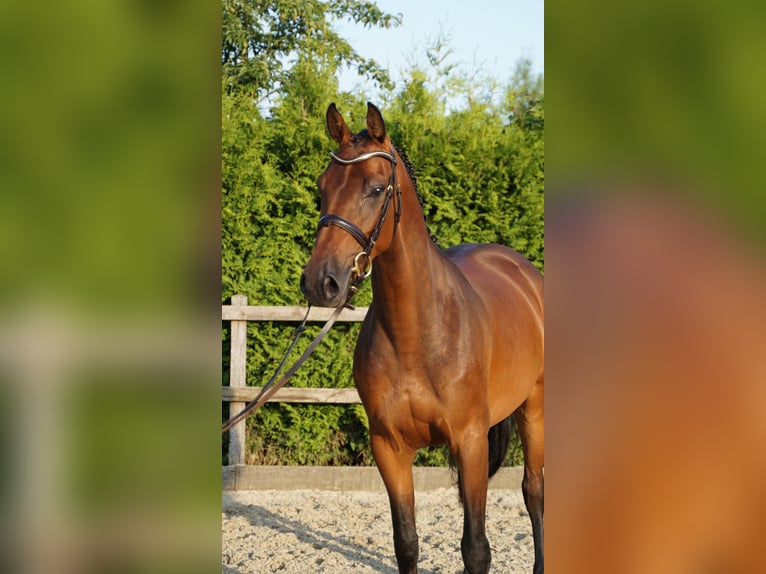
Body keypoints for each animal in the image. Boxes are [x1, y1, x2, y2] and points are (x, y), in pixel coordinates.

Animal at [300, 102, 545, 574]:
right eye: (322, 186)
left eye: (376, 188)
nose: (321, 282)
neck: (417, 336)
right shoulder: (389, 447)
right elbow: (407, 542)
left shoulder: (470, 441)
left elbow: (476, 548)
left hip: (535, 407)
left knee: (535, 491)